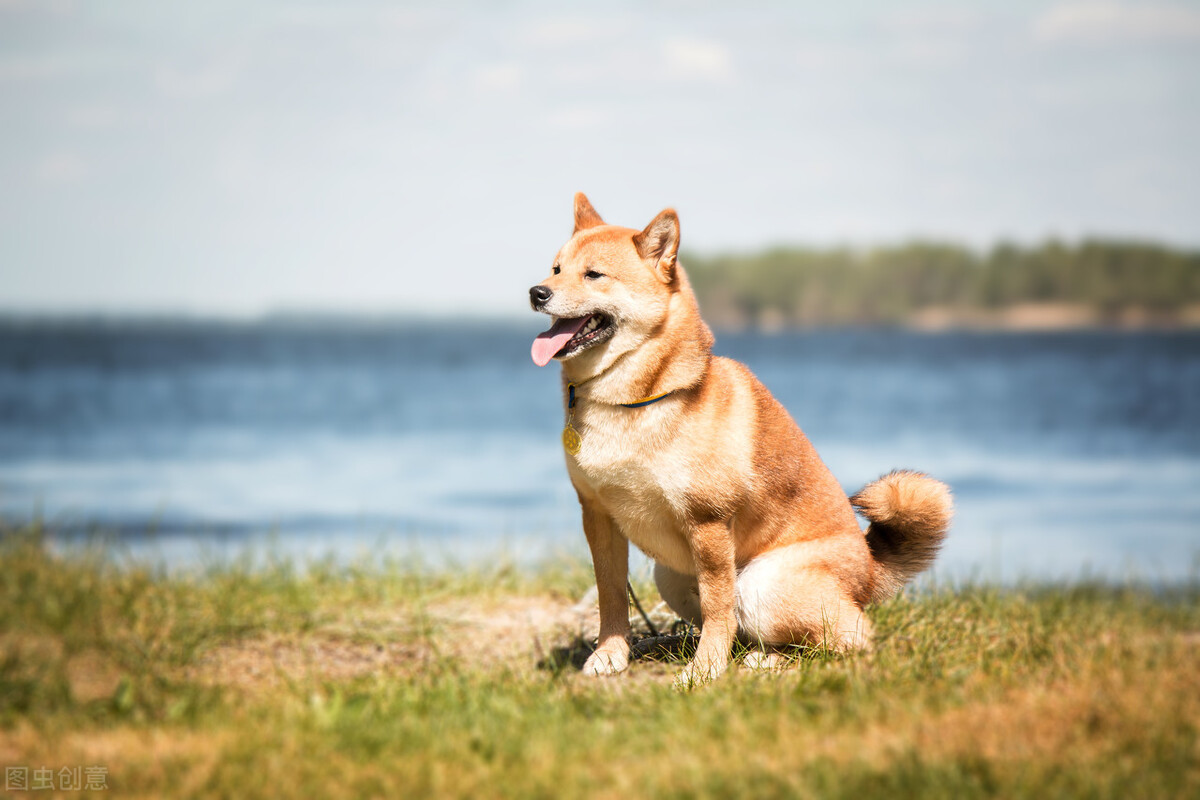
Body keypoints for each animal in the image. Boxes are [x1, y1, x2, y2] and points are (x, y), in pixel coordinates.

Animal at [530, 195, 950, 690]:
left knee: (849, 638)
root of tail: (868, 569)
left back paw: (768, 662)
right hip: (671, 576)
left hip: (764, 583)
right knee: (756, 631)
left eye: (593, 274)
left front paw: (705, 670)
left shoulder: (708, 521)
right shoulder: (598, 514)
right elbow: (610, 594)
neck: (633, 401)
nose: (536, 292)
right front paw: (612, 654)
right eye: (556, 268)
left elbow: (718, 608)